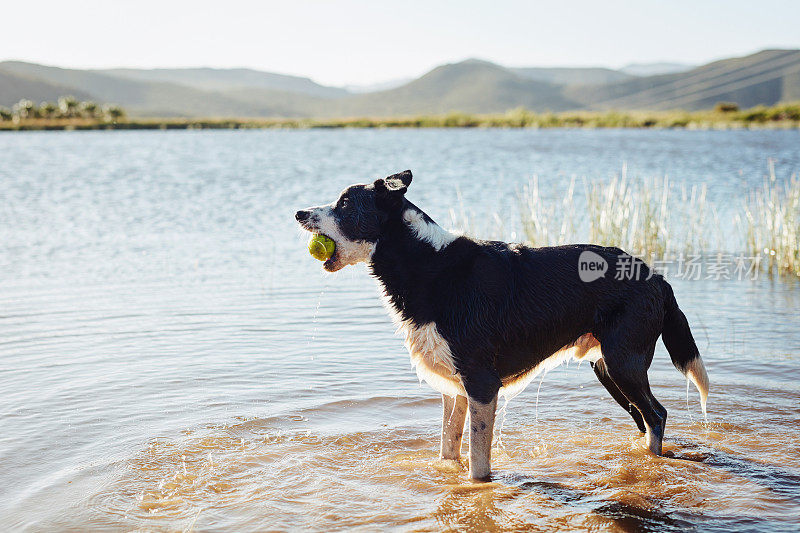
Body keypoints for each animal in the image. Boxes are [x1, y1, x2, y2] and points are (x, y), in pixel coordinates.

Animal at [296, 171, 708, 482]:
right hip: (608, 368)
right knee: (644, 419)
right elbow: (448, 448)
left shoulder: (482, 383)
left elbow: (478, 467)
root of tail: (657, 277)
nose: (299, 212)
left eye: (345, 204)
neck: (428, 263)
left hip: (624, 363)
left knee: (657, 415)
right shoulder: (455, 389)